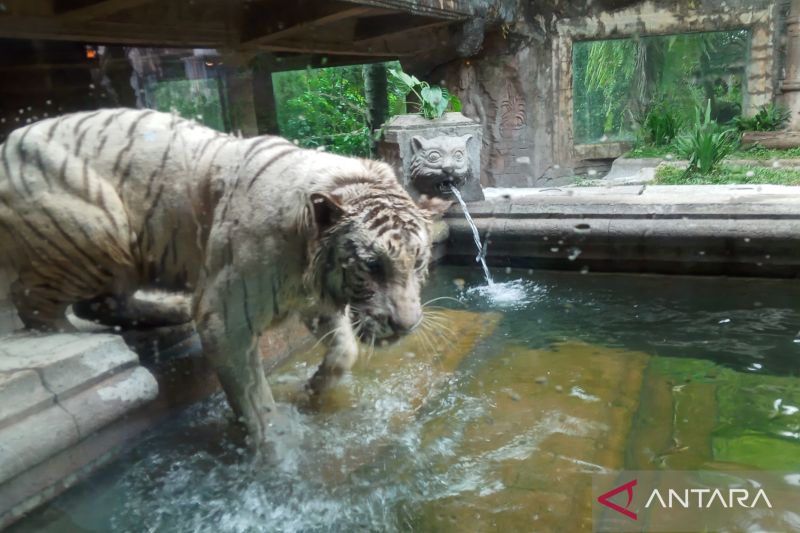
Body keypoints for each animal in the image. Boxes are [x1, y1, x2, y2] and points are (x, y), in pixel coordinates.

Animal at [0, 108, 449, 442]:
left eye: (419, 263)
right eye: (373, 265)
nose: (406, 325)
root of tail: (8, 143)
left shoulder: (316, 300)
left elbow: (345, 352)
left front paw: (312, 389)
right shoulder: (226, 319)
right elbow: (254, 398)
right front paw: (277, 445)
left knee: (102, 303)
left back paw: (172, 307)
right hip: (100, 225)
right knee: (36, 304)